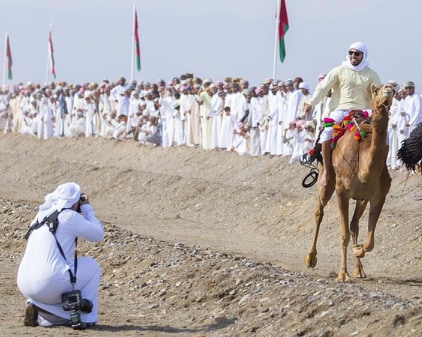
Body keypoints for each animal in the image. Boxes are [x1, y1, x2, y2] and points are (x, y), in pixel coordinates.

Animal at [304, 84, 394, 280]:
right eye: (376, 90)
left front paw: (358, 250)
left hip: (361, 198)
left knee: (354, 224)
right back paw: (310, 258)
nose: (389, 89)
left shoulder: (377, 196)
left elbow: (369, 240)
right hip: (326, 181)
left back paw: (359, 269)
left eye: (394, 89)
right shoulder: (342, 191)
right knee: (319, 212)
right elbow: (343, 233)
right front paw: (342, 274)